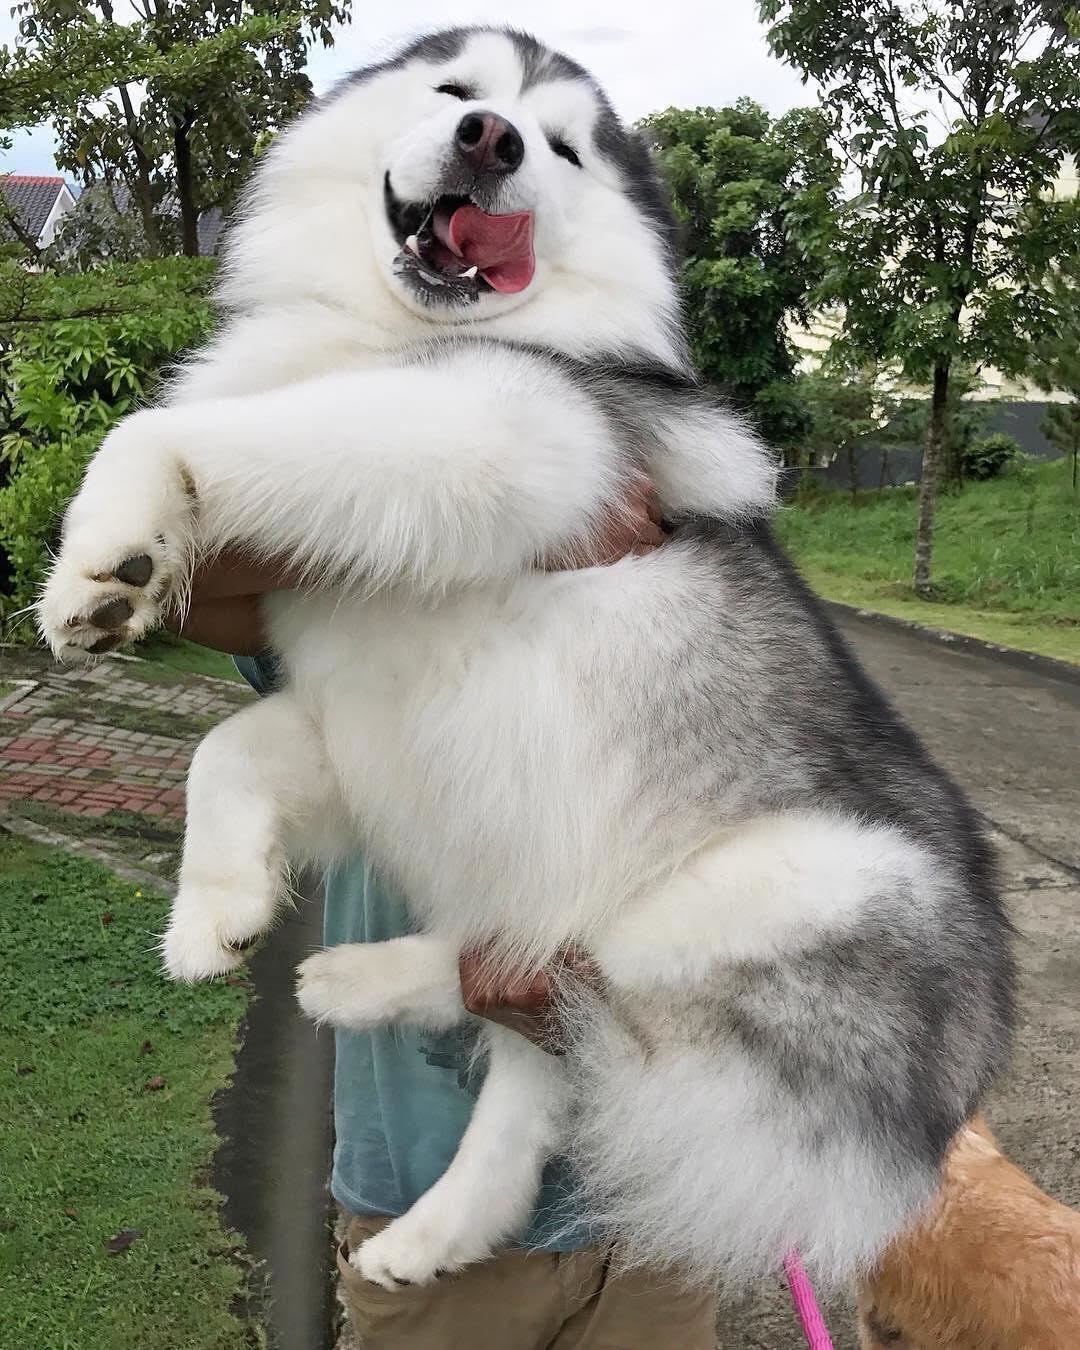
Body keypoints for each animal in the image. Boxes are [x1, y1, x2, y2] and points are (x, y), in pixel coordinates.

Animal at [35, 21, 1015, 1285]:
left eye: (562, 147)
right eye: (456, 89)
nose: (488, 140)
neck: (398, 330)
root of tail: (943, 1109)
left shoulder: (514, 427)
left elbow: (156, 427)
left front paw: (100, 556)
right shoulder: (359, 719)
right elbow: (226, 751)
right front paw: (215, 911)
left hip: (784, 890)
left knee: (569, 975)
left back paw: (372, 988)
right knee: (531, 1034)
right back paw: (425, 1199)